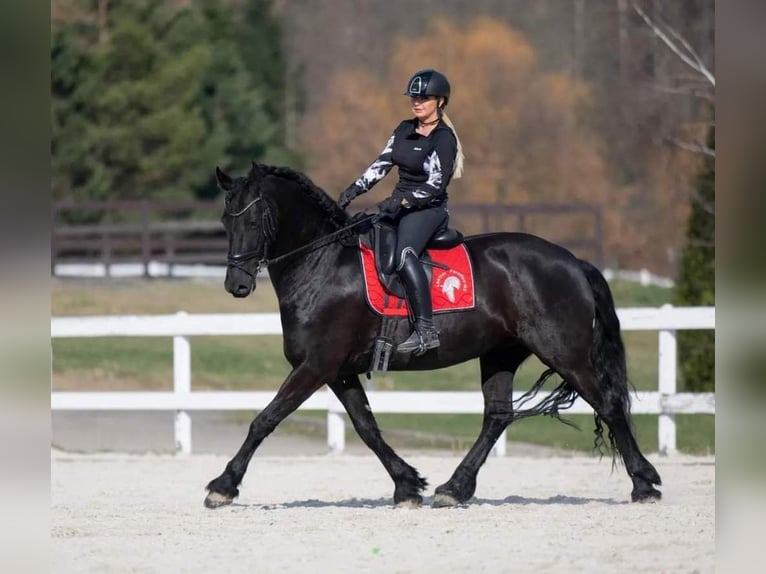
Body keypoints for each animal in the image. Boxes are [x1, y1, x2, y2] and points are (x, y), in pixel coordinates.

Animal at [206, 162, 664, 508]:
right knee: (498, 416)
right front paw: (408, 484)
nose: (236, 284)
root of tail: (572, 262)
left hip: (565, 354)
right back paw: (454, 488)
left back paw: (644, 483)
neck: (323, 265)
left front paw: (223, 486)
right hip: (501, 354)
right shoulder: (338, 370)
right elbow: (366, 427)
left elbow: (265, 419)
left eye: (254, 217)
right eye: (225, 219)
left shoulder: (315, 366)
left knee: (608, 404)